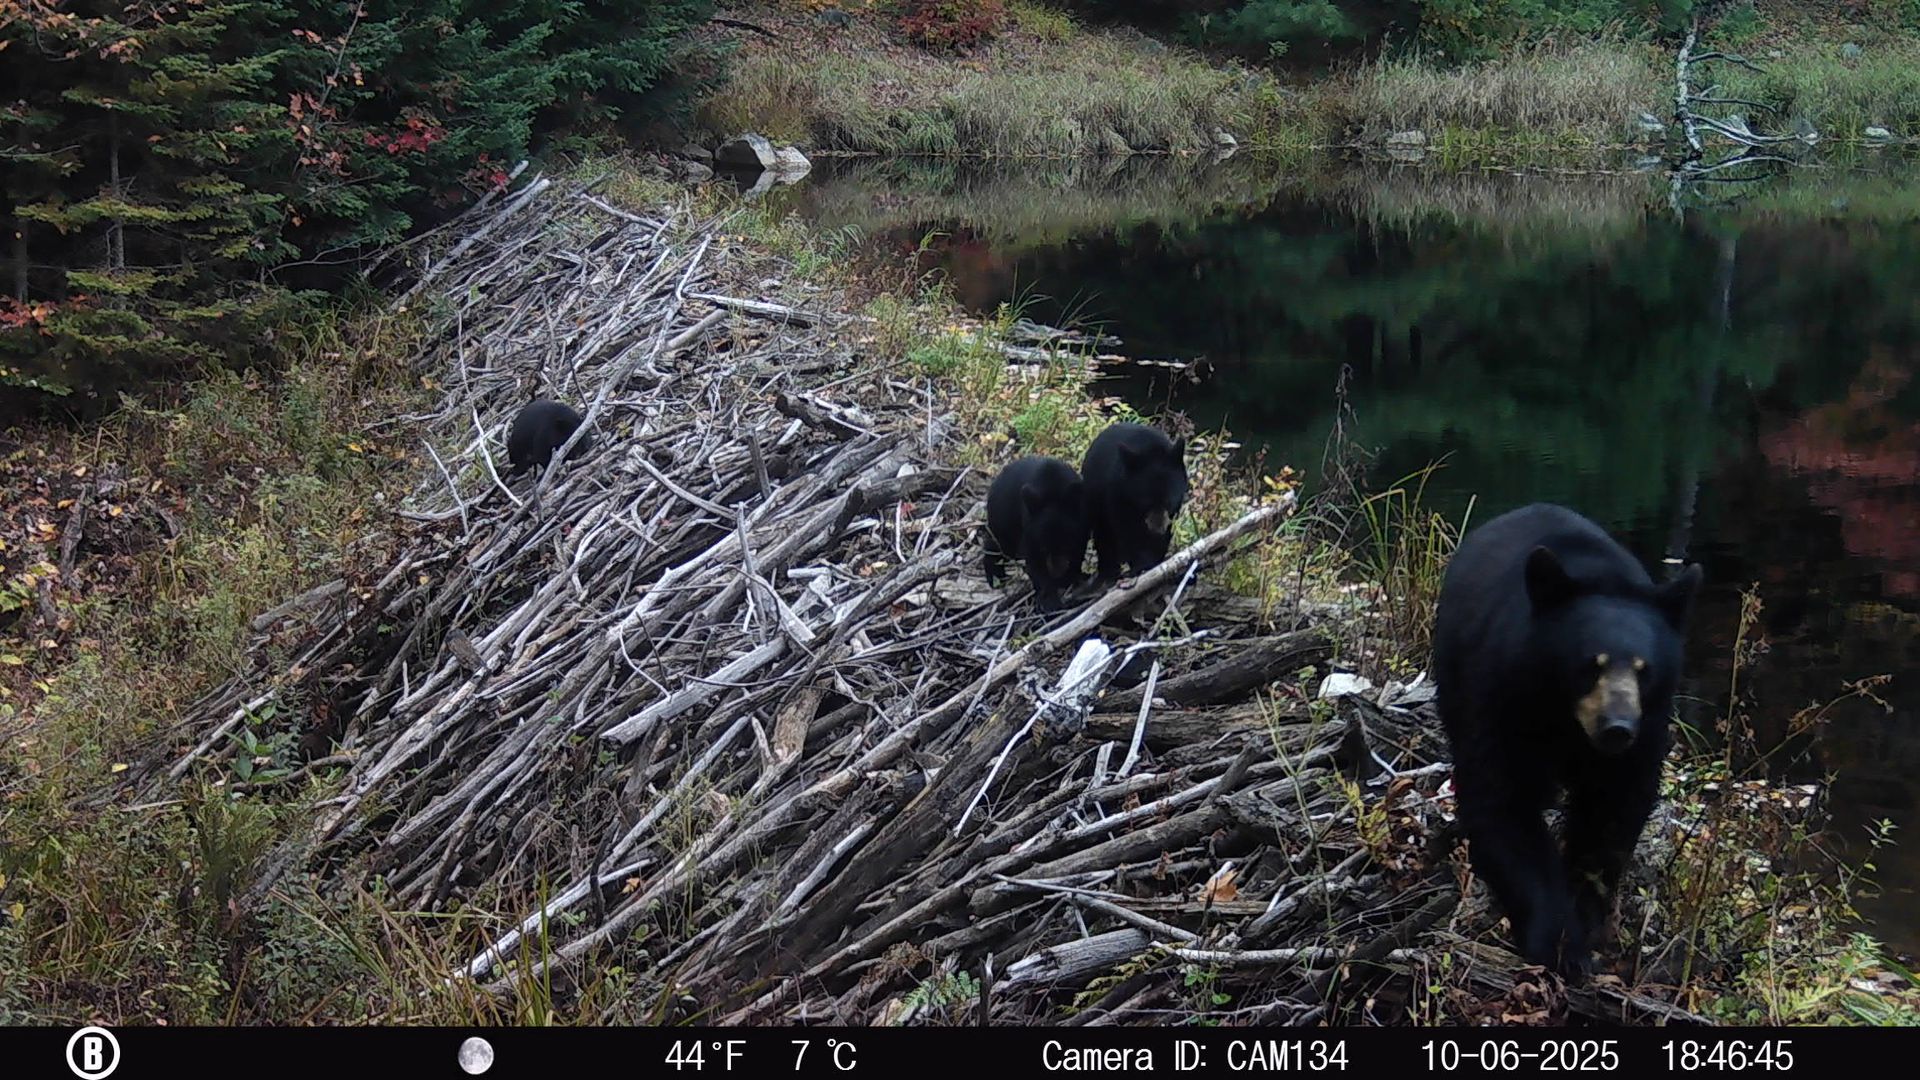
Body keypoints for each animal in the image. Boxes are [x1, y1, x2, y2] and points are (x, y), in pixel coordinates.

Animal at [983, 455, 1091, 612]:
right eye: (1044, 548)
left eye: (1066, 544)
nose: (1057, 573)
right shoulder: (1030, 530)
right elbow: (1035, 564)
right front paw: (1050, 601)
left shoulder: (1082, 529)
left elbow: (1077, 554)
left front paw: (1071, 578)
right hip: (1005, 517)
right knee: (998, 543)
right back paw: (996, 578)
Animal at [1080, 421, 1189, 585]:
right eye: (1146, 502)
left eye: (1169, 502)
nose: (1157, 530)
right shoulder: (1116, 494)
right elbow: (1127, 531)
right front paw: (1142, 563)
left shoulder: (1173, 511)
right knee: (1104, 534)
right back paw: (1108, 572)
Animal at [1432, 502, 1703, 980]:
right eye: (1590, 664)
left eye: (1644, 668)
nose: (1617, 728)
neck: (1565, 719)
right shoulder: (1502, 697)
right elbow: (1502, 801)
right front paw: (1559, 942)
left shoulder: (1648, 727)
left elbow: (1614, 809)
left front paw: (1587, 916)